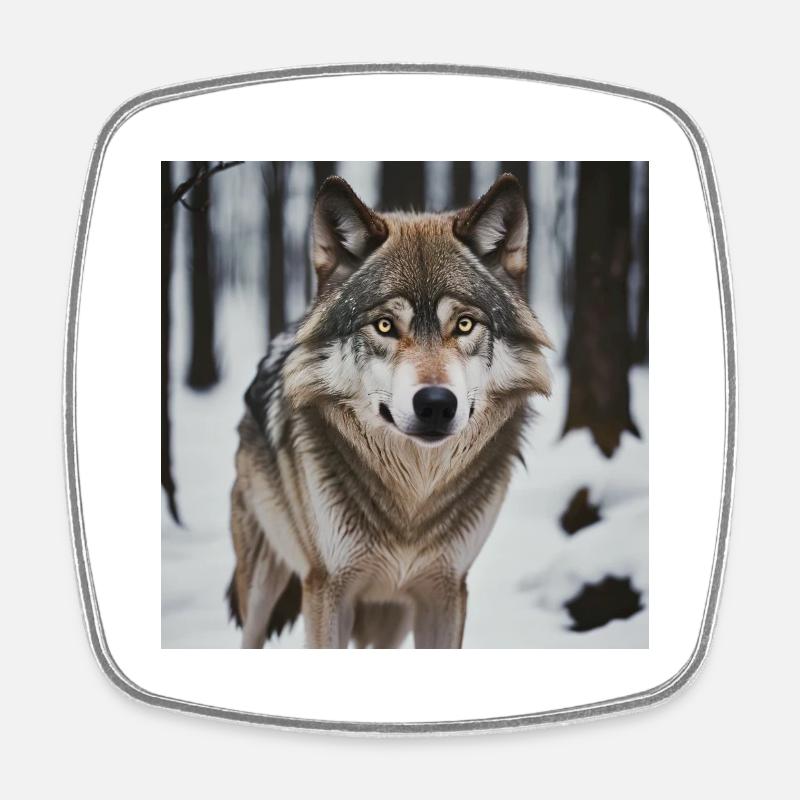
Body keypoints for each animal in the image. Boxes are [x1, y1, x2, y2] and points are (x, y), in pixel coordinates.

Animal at [227, 172, 552, 648]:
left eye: (464, 324)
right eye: (384, 325)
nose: (435, 405)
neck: (411, 501)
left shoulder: (445, 590)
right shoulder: (328, 588)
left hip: (389, 619)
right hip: (264, 586)